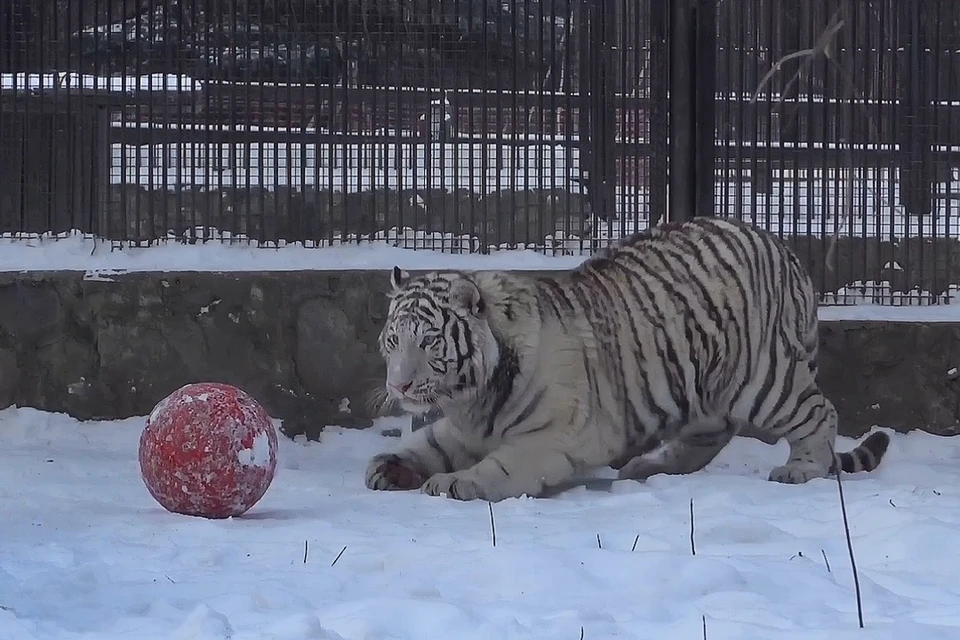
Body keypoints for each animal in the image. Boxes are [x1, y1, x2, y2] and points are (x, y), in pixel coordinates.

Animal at [364, 218, 888, 502]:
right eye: (392, 341)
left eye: (429, 342)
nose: (399, 387)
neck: (474, 397)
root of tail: (782, 248)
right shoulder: (464, 427)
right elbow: (428, 445)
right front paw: (388, 465)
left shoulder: (547, 439)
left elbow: (499, 468)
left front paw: (454, 483)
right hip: (698, 385)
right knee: (711, 434)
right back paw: (646, 468)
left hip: (759, 379)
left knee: (818, 412)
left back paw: (801, 469)